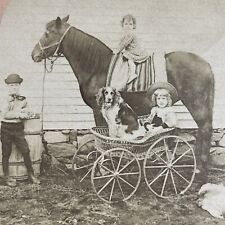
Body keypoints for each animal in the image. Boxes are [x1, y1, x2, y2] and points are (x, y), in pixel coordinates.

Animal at [31, 15, 214, 182]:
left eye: (48, 33)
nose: (34, 55)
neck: (96, 67)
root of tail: (205, 64)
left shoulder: (98, 110)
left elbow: (103, 139)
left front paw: (104, 169)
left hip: (196, 104)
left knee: (204, 128)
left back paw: (200, 170)